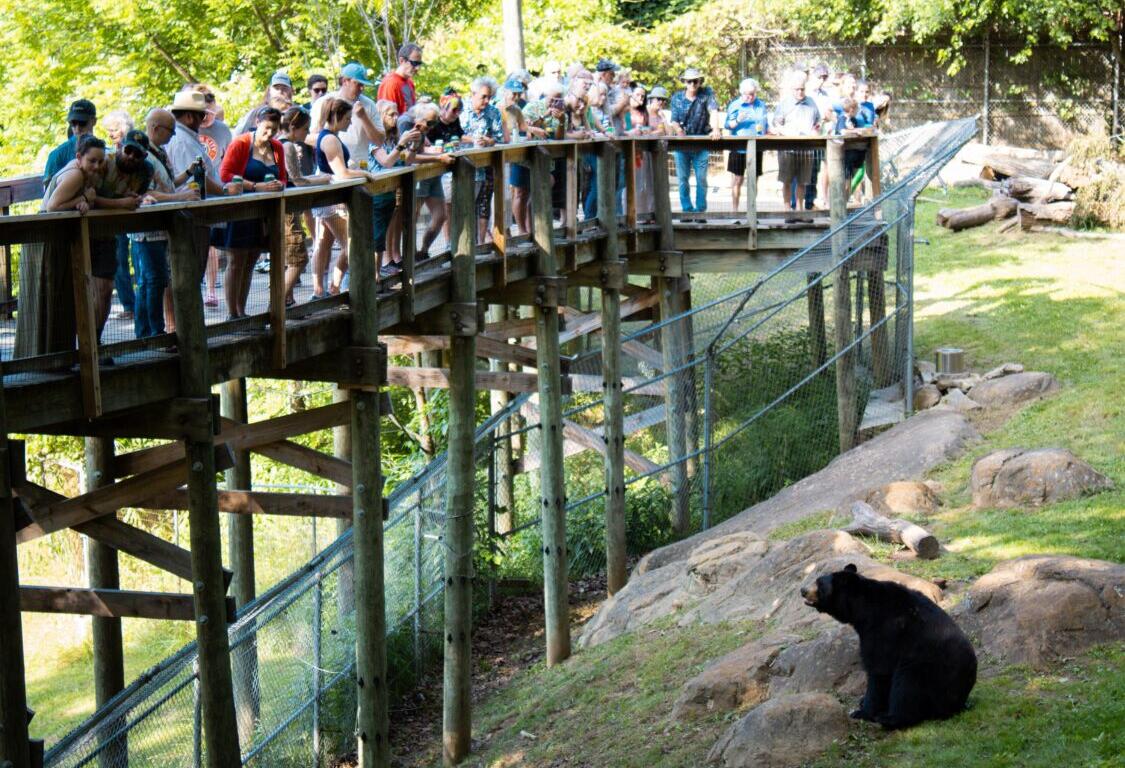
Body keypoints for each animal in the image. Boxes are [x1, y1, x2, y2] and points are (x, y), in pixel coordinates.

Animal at [800, 563, 977, 729]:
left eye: (819, 583)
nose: (802, 590)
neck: (862, 609)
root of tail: (960, 700)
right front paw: (862, 703)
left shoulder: (884, 629)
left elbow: (879, 669)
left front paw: (862, 712)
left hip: (927, 668)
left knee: (907, 685)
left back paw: (890, 718)